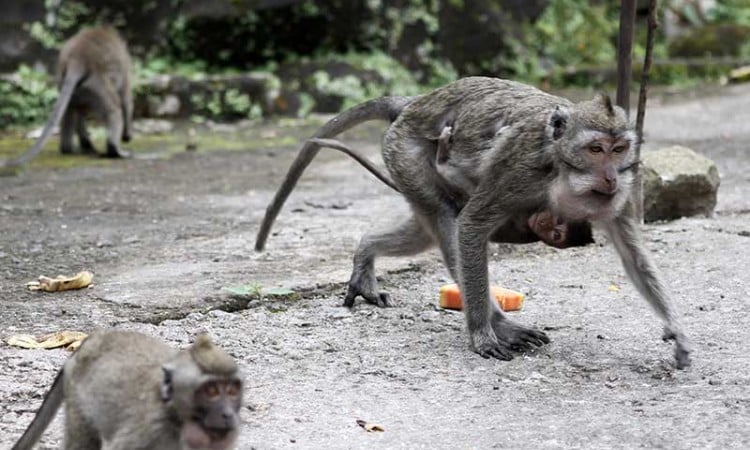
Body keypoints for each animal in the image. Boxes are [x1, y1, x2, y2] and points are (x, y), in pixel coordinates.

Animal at [1, 25, 134, 169]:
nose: (126, 137)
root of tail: (77, 58)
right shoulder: (125, 67)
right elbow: (126, 99)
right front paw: (127, 136)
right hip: (96, 84)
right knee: (113, 108)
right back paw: (114, 150)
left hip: (75, 85)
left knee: (70, 110)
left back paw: (69, 148)